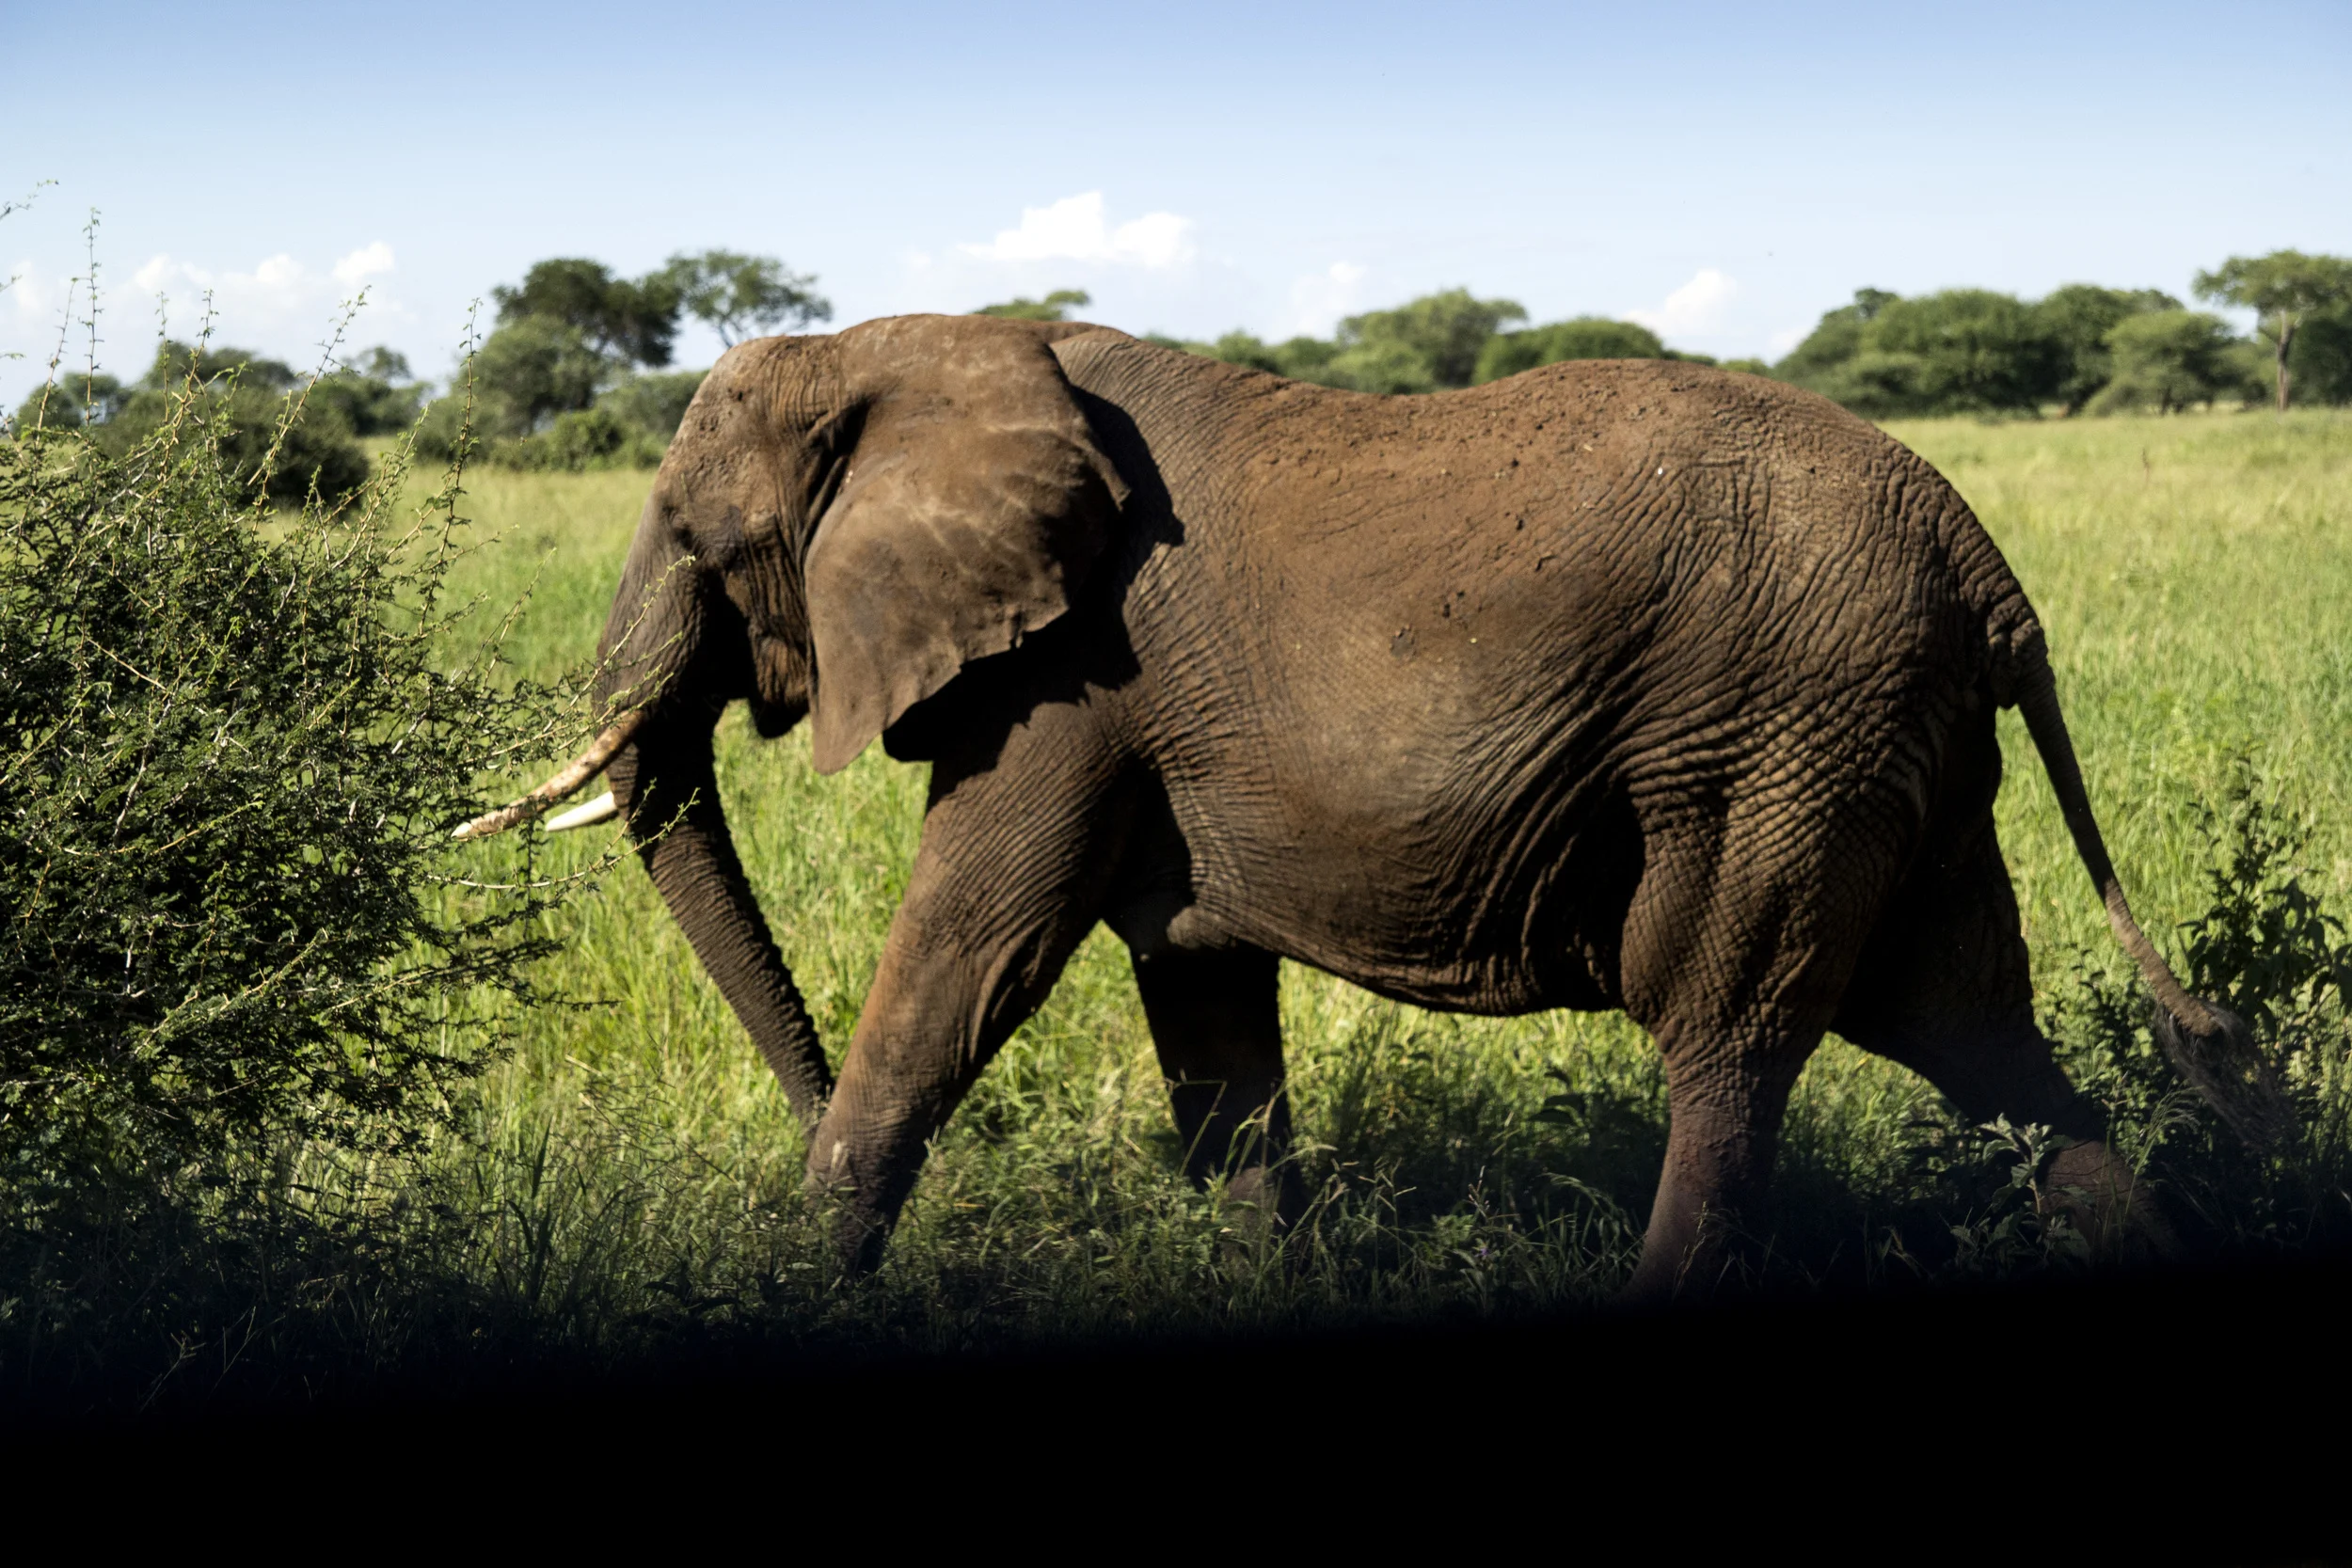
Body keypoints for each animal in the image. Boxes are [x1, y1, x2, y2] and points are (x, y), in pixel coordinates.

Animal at [457, 312, 2281, 1299]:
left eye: (696, 542)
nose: (796, 1114)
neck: (923, 342)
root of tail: (1990, 568)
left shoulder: (1072, 681)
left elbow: (974, 943)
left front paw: (789, 1286)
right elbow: (1197, 992)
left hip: (1778, 738)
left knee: (1727, 1030)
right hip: (1892, 745)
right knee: (1981, 1034)